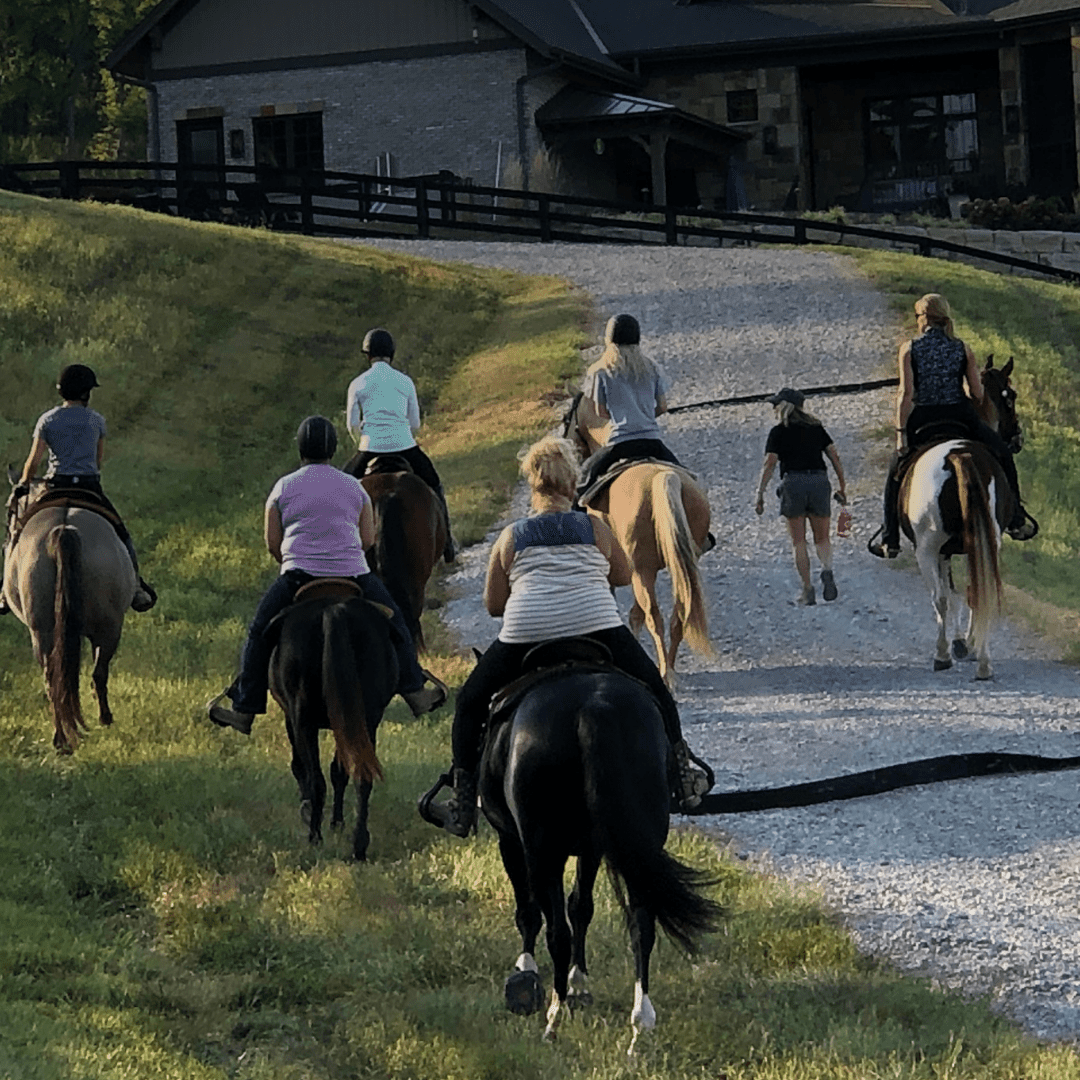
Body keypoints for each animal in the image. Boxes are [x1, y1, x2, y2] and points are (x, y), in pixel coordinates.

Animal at [2, 477, 137, 756]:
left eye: (9, 510)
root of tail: (63, 530)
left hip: (42, 631)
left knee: (53, 679)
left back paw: (62, 739)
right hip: (109, 628)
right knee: (98, 673)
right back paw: (103, 718)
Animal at [267, 578, 399, 864]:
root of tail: (333, 610)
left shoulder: (293, 719)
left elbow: (304, 768)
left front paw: (312, 813)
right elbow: (340, 771)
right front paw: (337, 822)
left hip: (303, 719)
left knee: (316, 780)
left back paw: (314, 837)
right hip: (365, 717)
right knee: (363, 776)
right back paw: (359, 845)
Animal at [475, 643, 721, 1049]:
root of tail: (593, 708)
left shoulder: (510, 840)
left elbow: (531, 912)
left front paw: (527, 974)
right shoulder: (591, 847)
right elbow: (582, 906)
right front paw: (580, 984)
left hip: (543, 849)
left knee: (557, 932)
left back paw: (554, 1020)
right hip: (640, 841)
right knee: (641, 924)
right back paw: (640, 1024)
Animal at [898, 354, 1023, 678]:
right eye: (1011, 397)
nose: (1017, 439)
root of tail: (958, 454)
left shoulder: (940, 551)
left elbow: (948, 593)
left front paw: (956, 644)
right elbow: (963, 591)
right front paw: (964, 643)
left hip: (926, 549)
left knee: (941, 598)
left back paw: (944, 655)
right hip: (982, 541)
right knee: (980, 591)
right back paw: (983, 661)